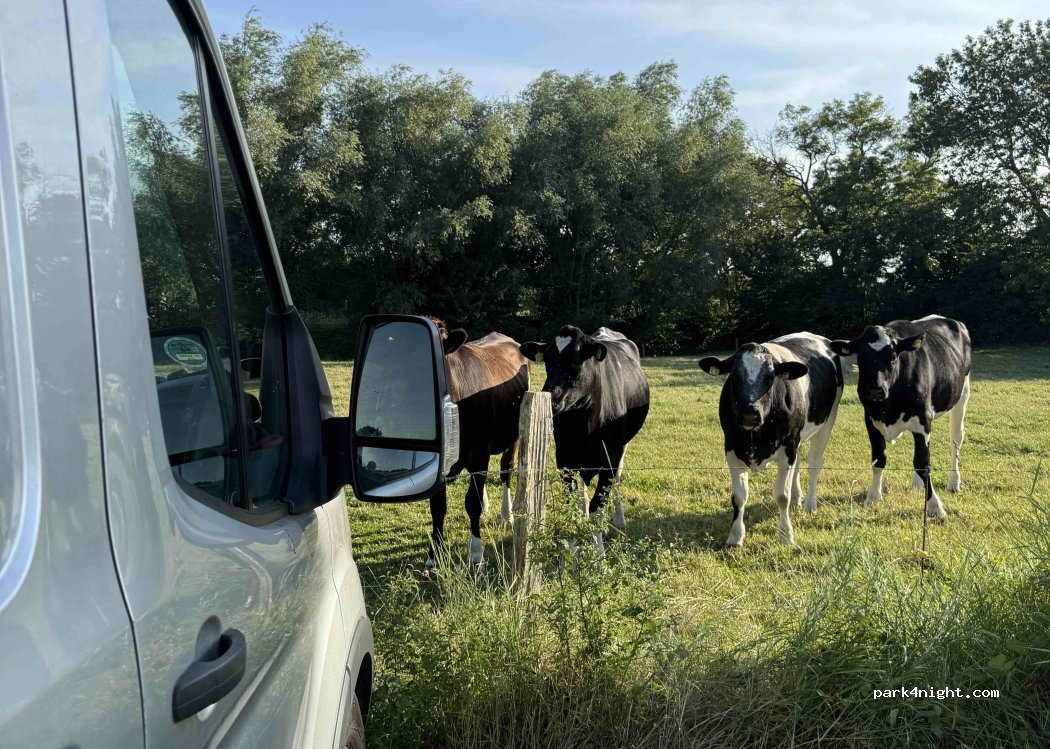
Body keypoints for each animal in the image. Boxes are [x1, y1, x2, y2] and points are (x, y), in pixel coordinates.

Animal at [428, 321, 530, 567]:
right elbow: (438, 507)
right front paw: (434, 555)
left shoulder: (480, 451)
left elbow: (471, 503)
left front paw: (476, 552)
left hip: (512, 437)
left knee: (505, 471)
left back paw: (506, 515)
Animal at [519, 326, 650, 550]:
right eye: (547, 361)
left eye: (577, 361)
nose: (552, 399)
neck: (583, 424)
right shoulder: (564, 459)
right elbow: (573, 508)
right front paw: (573, 551)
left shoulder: (610, 456)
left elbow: (599, 507)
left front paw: (599, 554)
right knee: (583, 495)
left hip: (622, 446)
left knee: (617, 478)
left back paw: (620, 519)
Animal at [699, 333, 844, 548]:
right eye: (734, 377)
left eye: (770, 378)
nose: (749, 415)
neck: (755, 436)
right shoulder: (731, 446)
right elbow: (739, 496)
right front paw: (735, 537)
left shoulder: (788, 446)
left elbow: (781, 495)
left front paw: (786, 536)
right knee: (798, 463)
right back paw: (797, 498)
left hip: (827, 421)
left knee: (815, 463)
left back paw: (809, 503)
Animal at [830, 315, 971, 519]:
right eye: (861, 357)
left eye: (892, 357)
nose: (875, 390)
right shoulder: (871, 420)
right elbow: (879, 459)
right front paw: (873, 496)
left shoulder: (923, 420)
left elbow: (922, 463)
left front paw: (935, 506)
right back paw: (918, 483)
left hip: (962, 394)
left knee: (955, 439)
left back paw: (953, 482)